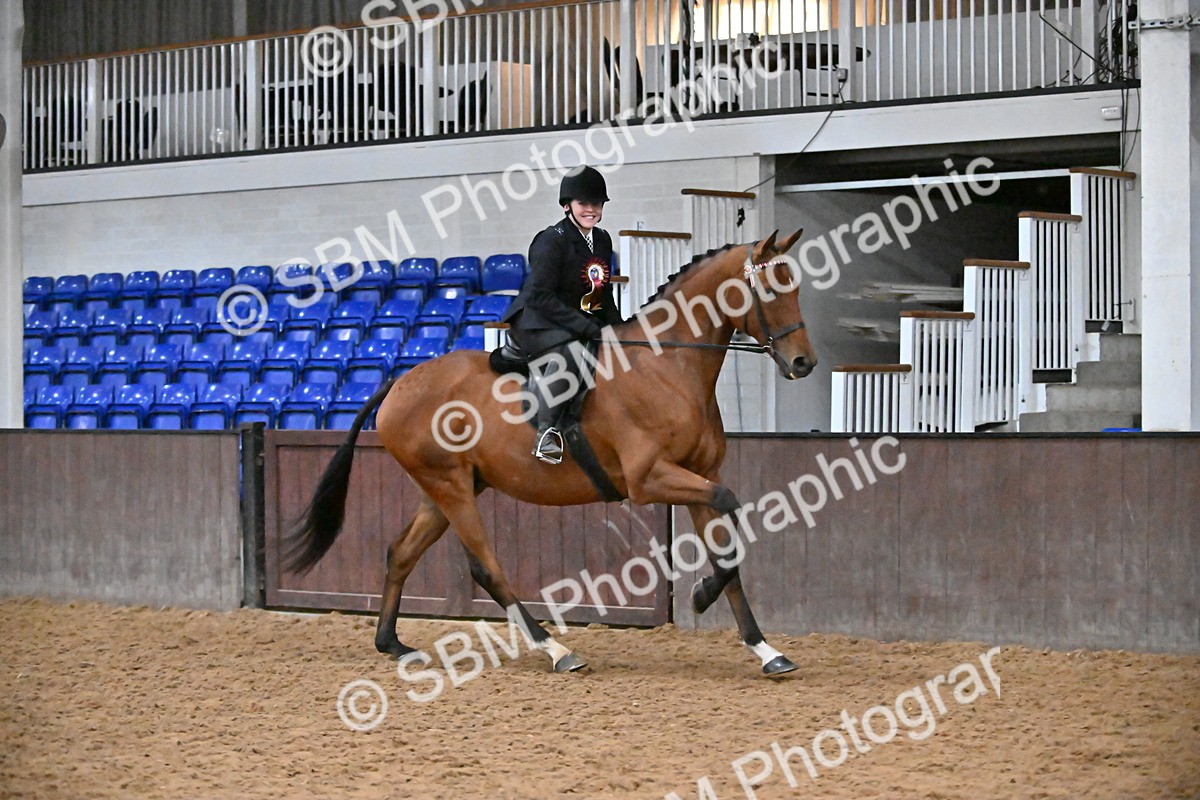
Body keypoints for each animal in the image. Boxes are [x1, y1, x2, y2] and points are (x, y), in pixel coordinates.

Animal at [285, 230, 817, 676]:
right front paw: (704, 595)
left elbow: (727, 546)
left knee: (400, 553)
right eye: (772, 290)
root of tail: (399, 381)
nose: (804, 363)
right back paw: (557, 650)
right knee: (486, 568)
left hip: (443, 489)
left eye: (796, 287)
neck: (667, 365)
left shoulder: (697, 474)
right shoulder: (650, 479)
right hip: (450, 487)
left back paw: (392, 643)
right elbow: (729, 505)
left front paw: (765, 649)